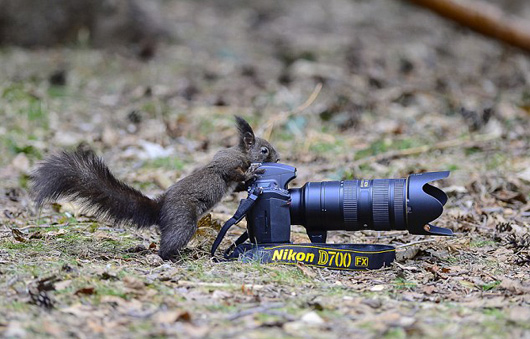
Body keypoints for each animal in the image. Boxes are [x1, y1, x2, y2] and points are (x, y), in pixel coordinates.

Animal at [32, 117, 280, 260]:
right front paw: (251, 173)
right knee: (167, 244)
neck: (242, 153)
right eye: (264, 150)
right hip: (183, 221)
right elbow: (230, 172)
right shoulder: (226, 163)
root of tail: (160, 208)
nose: (278, 158)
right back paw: (171, 256)